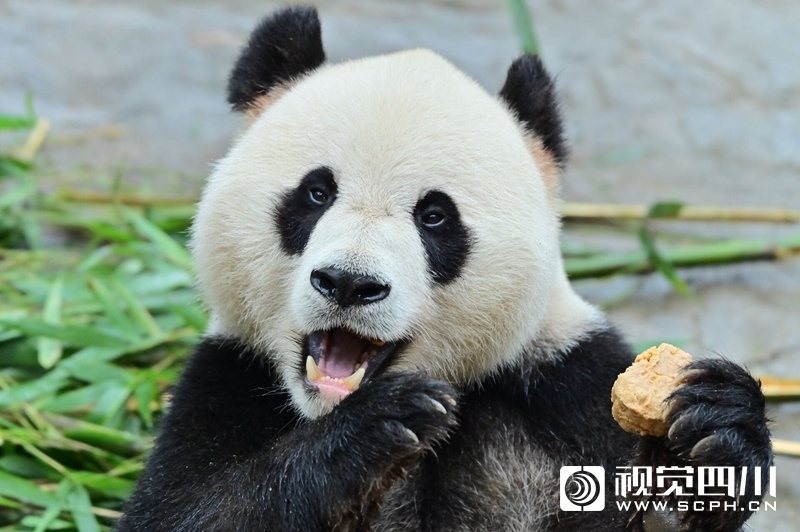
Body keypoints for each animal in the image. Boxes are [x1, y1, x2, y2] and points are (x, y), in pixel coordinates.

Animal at [117, 6, 772, 532]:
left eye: (434, 216)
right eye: (315, 193)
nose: (349, 283)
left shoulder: (567, 383)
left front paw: (709, 438)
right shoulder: (225, 380)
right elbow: (184, 515)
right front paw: (369, 432)